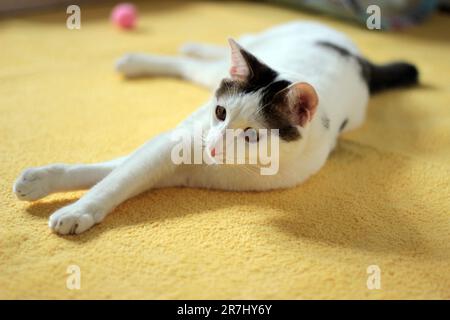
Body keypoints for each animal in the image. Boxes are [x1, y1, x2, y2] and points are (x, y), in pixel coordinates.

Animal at [11, 21, 418, 234]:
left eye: (252, 136)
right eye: (220, 111)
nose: (213, 148)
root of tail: (357, 55)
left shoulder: (184, 165)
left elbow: (115, 175)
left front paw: (76, 210)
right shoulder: (175, 141)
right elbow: (115, 173)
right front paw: (46, 183)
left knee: (194, 65)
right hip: (246, 53)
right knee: (210, 57)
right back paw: (156, 56)